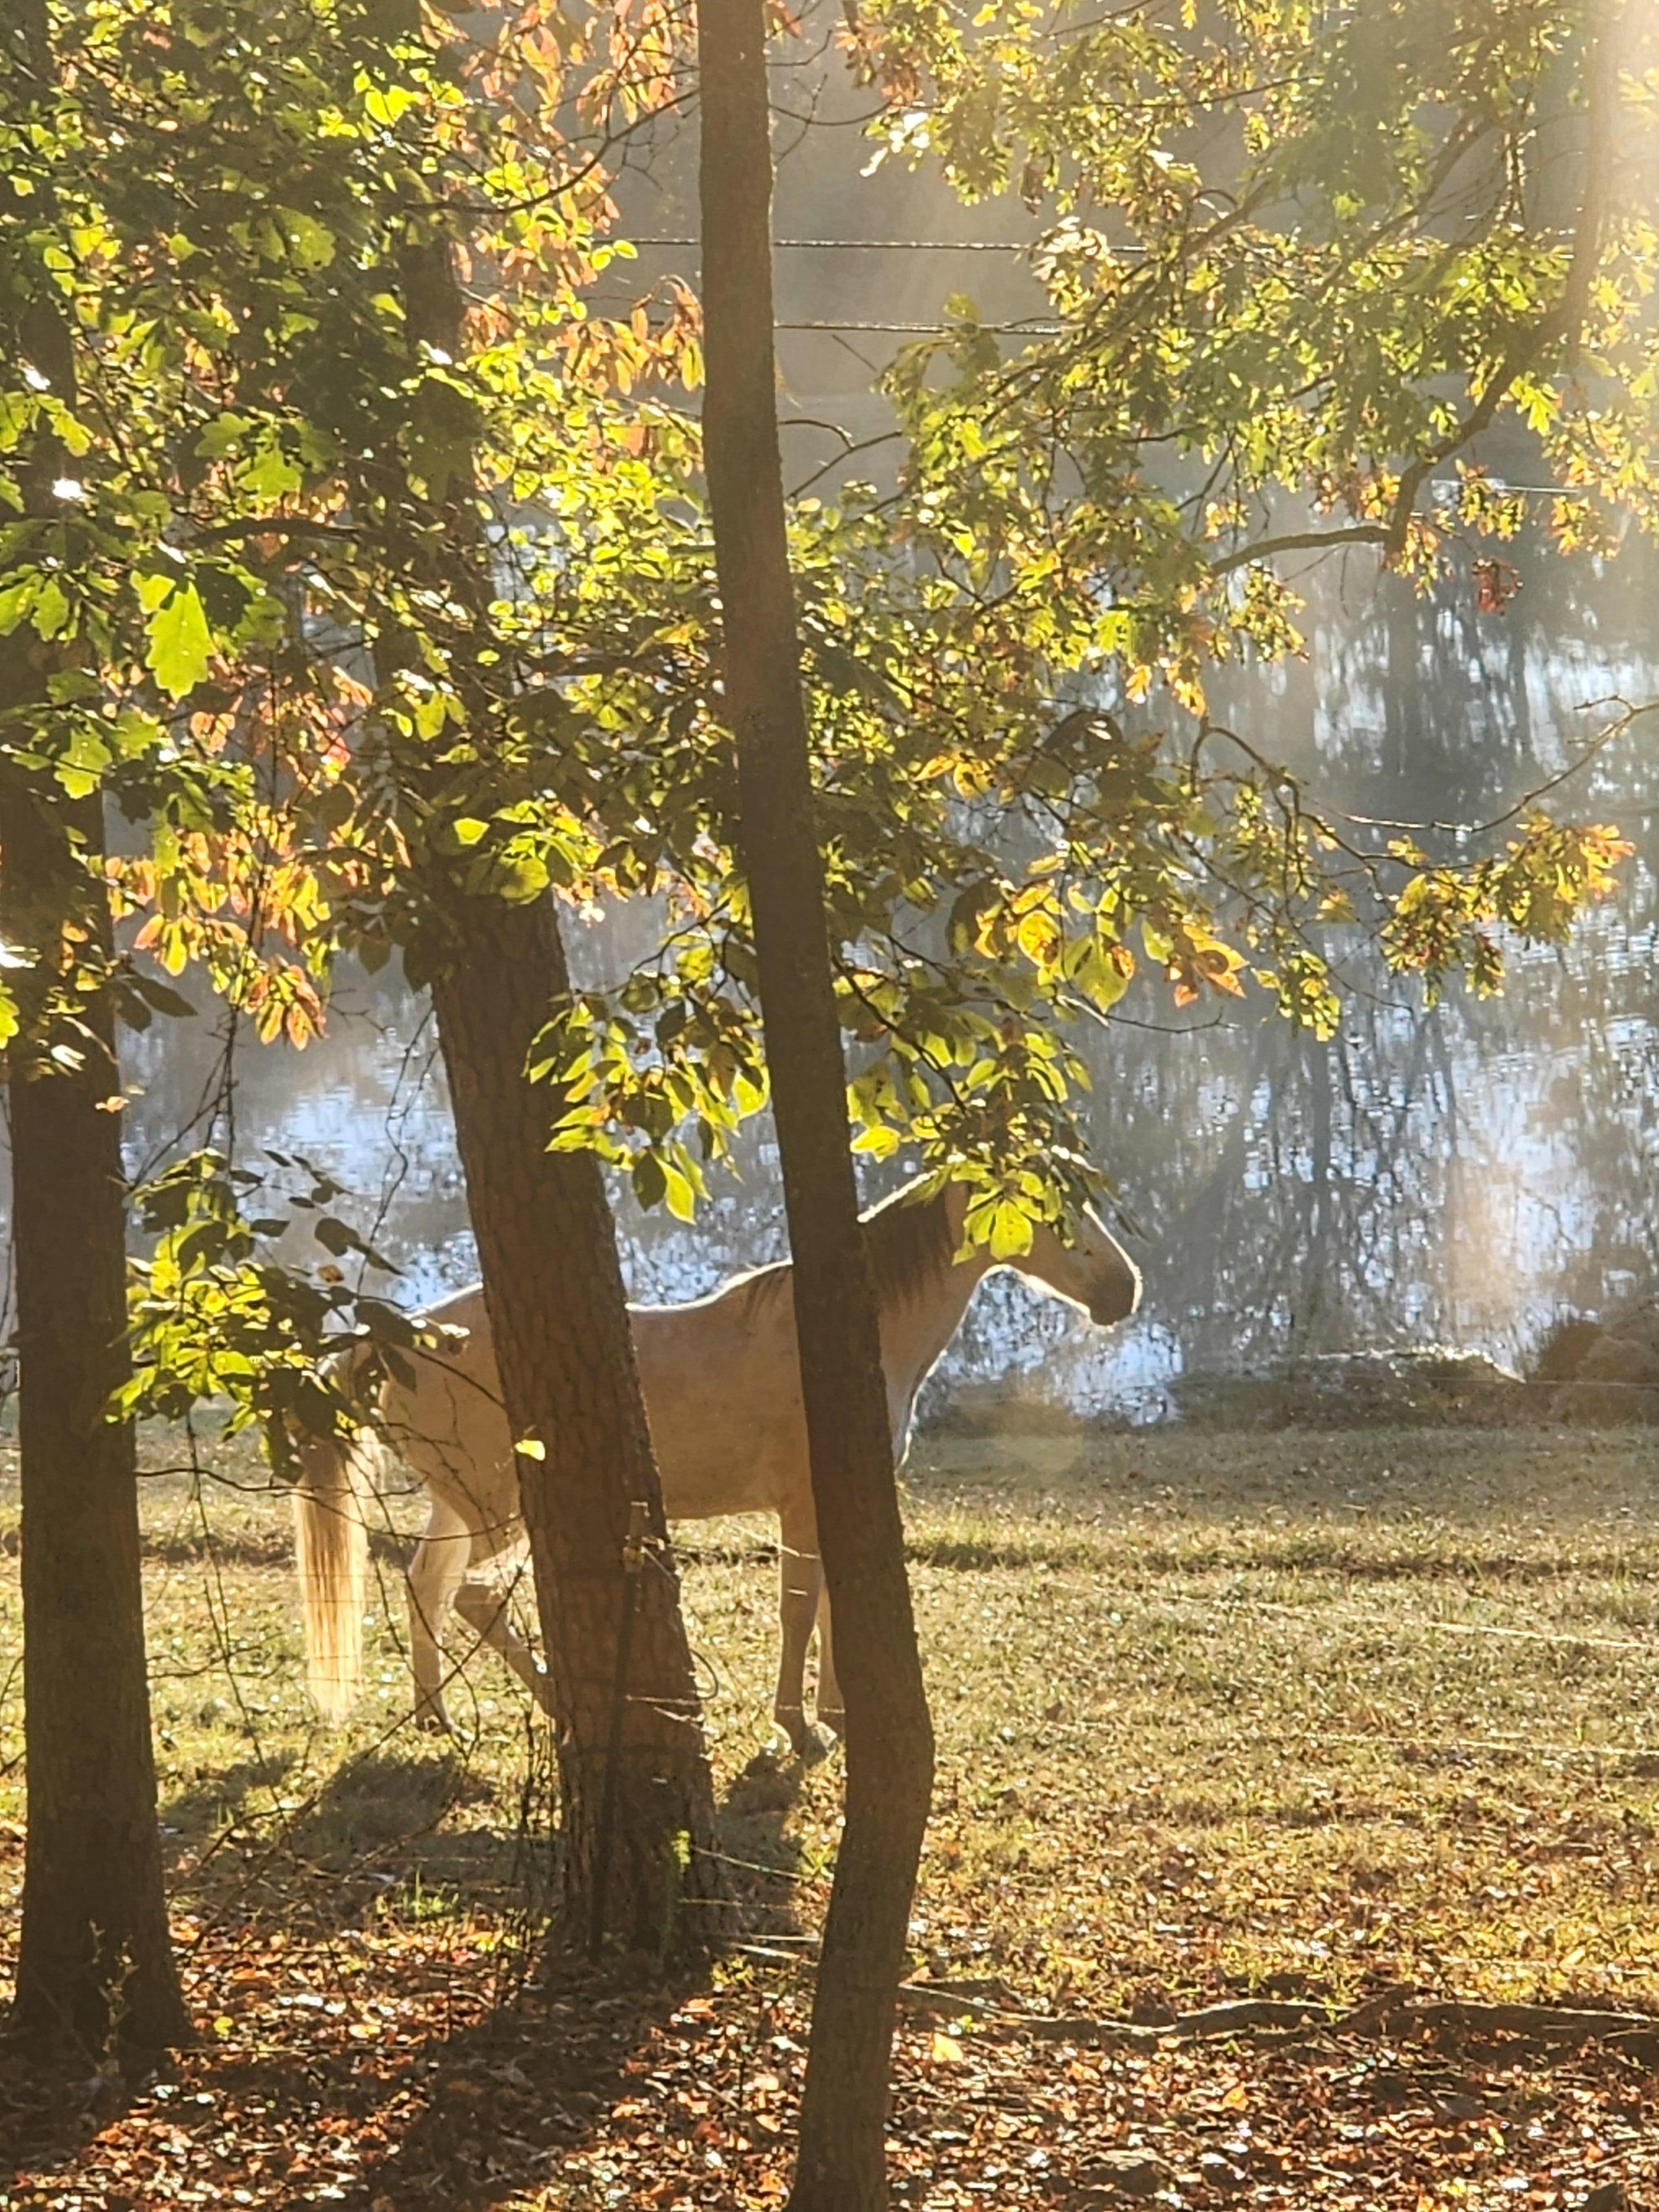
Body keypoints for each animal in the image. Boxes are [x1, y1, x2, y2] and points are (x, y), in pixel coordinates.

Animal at [293, 1174, 1141, 1752]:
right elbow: (799, 1606)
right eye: (1052, 1210)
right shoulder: (801, 1505)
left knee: (427, 1586)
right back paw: (555, 1705)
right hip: (499, 1510)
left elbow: (827, 1605)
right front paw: (799, 1729)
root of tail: (401, 1338)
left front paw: (834, 1719)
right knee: (471, 1595)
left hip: (465, 1505)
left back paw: (436, 1718)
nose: (1123, 1290)